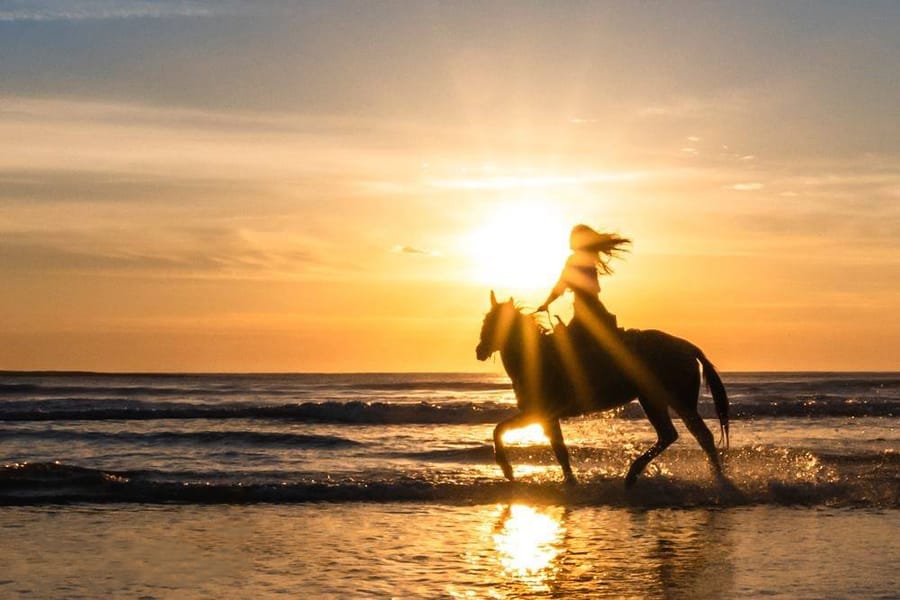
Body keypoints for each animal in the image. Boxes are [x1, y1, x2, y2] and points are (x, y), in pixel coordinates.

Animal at [474, 290, 728, 488]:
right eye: (486, 320)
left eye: (496, 322)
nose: (480, 351)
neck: (536, 358)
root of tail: (687, 347)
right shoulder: (548, 417)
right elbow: (560, 451)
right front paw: (570, 482)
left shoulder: (540, 412)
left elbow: (499, 430)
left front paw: (507, 469)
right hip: (662, 401)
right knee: (683, 435)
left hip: (668, 400)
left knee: (690, 435)